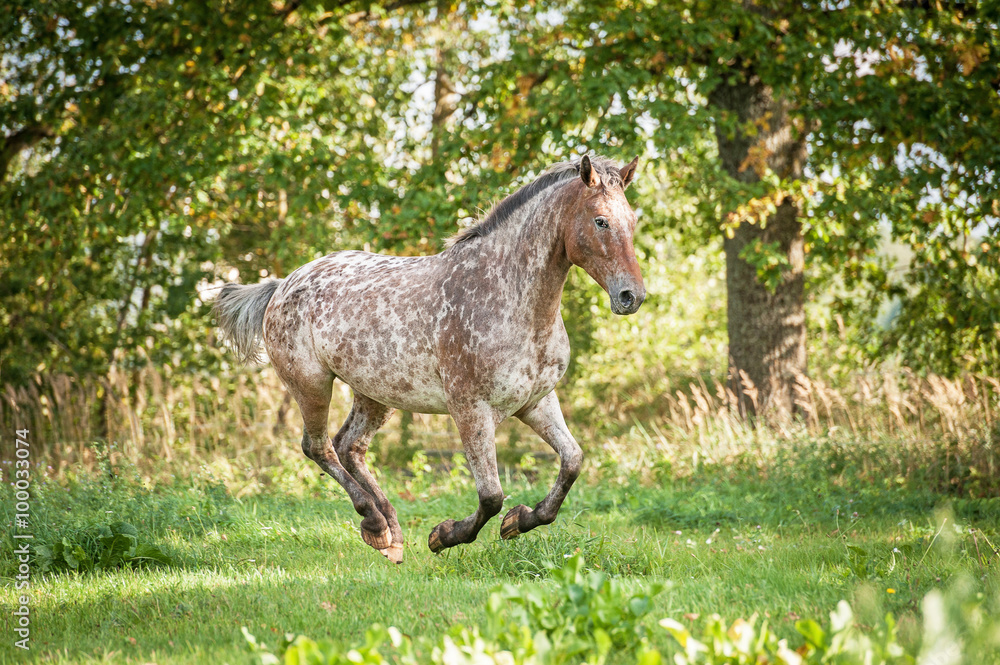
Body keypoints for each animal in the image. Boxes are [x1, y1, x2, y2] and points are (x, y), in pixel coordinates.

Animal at [213, 155, 645, 564]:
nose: (632, 296)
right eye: (601, 221)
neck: (507, 296)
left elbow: (572, 462)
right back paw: (375, 524)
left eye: (633, 220)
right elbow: (491, 495)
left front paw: (520, 521)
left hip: (375, 394)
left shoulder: (536, 402)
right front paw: (444, 536)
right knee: (318, 447)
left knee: (349, 445)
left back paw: (390, 534)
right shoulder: (470, 409)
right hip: (312, 385)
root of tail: (282, 284)